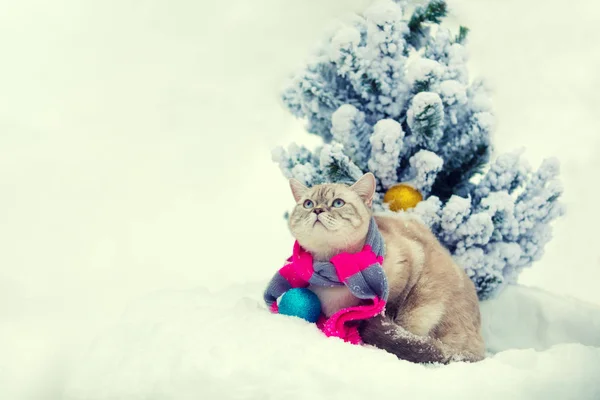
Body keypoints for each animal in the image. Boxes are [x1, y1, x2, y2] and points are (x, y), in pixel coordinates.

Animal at [288, 173, 488, 364]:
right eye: (308, 204)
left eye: (338, 203)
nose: (317, 210)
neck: (335, 271)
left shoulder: (408, 266)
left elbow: (390, 310)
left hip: (425, 302)